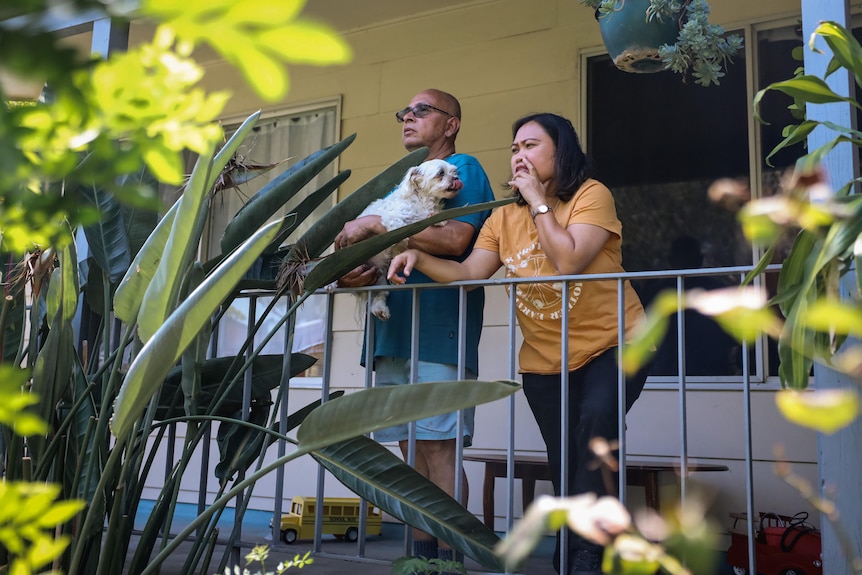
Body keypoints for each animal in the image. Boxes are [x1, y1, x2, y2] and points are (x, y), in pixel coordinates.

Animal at [360, 159, 466, 320]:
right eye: (441, 173)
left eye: (454, 172)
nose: (456, 178)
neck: (422, 200)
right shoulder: (393, 216)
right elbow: (399, 231)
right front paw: (400, 247)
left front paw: (438, 218)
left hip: (379, 278)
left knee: (380, 294)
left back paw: (380, 309)